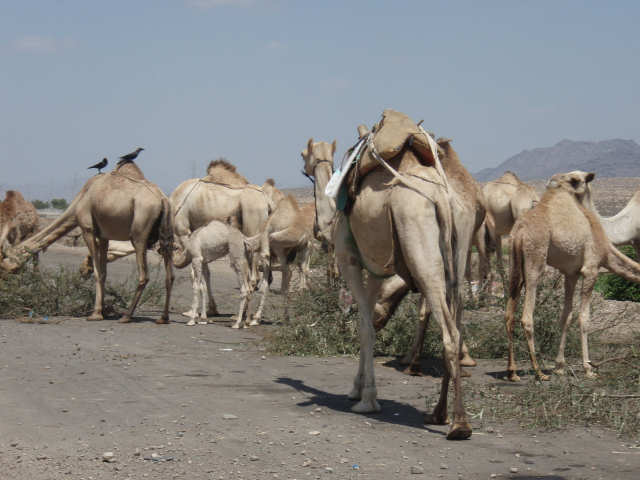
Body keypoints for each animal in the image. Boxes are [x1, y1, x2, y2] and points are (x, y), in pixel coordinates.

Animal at [0, 163, 174, 324]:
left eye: (2, 265)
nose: (4, 283)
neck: (80, 199)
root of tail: (162, 199)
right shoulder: (104, 236)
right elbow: (103, 272)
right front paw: (103, 310)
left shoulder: (87, 229)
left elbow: (97, 272)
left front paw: (95, 314)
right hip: (166, 236)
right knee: (170, 276)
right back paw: (163, 318)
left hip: (139, 234)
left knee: (144, 275)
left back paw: (126, 316)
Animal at [170, 159, 270, 320]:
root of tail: (267, 202)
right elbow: (206, 273)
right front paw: (210, 310)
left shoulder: (184, 232)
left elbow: (194, 274)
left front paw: (192, 312)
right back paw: (252, 316)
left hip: (252, 225)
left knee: (253, 278)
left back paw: (241, 317)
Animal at [336, 110, 470, 440]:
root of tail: (442, 200)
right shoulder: (375, 268)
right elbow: (369, 321)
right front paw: (358, 389)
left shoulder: (349, 259)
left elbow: (364, 325)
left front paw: (367, 399)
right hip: (459, 250)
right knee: (456, 322)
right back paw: (439, 414)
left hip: (419, 243)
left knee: (449, 332)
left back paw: (459, 424)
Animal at [502, 171, 640, 380]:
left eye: (576, 180)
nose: (551, 182)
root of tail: (520, 231)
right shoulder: (591, 268)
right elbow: (584, 318)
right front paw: (588, 368)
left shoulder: (571, 274)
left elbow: (566, 316)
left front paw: (560, 366)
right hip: (535, 259)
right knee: (526, 316)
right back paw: (539, 371)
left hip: (514, 263)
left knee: (509, 313)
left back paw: (512, 372)